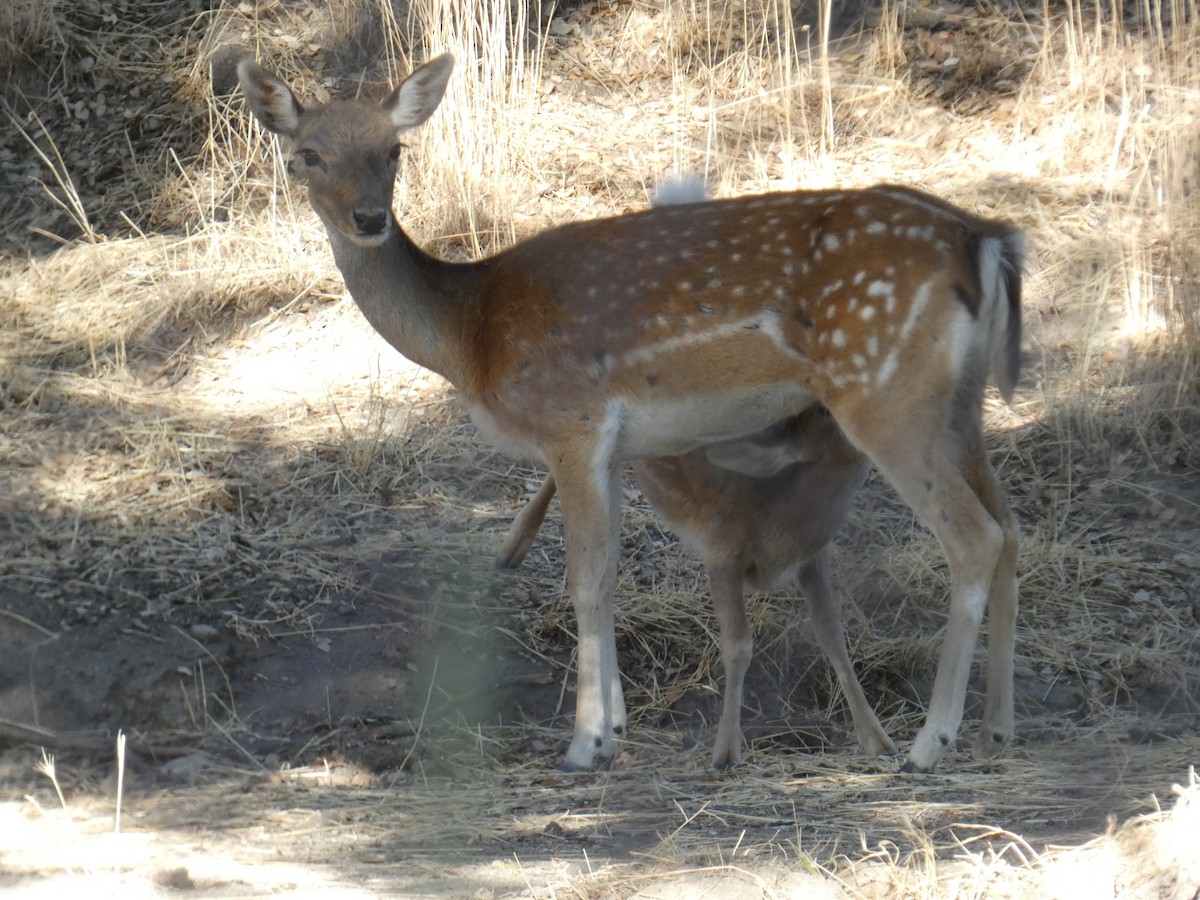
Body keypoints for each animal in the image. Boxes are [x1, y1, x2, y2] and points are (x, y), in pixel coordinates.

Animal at [238, 51, 1024, 774]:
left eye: (394, 149)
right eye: (307, 155)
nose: (369, 218)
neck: (470, 335)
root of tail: (983, 239)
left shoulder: (572, 423)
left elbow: (583, 579)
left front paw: (585, 744)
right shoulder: (614, 447)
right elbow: (608, 574)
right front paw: (614, 730)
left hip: (884, 392)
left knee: (974, 537)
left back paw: (929, 743)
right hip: (959, 405)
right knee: (1011, 530)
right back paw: (996, 730)